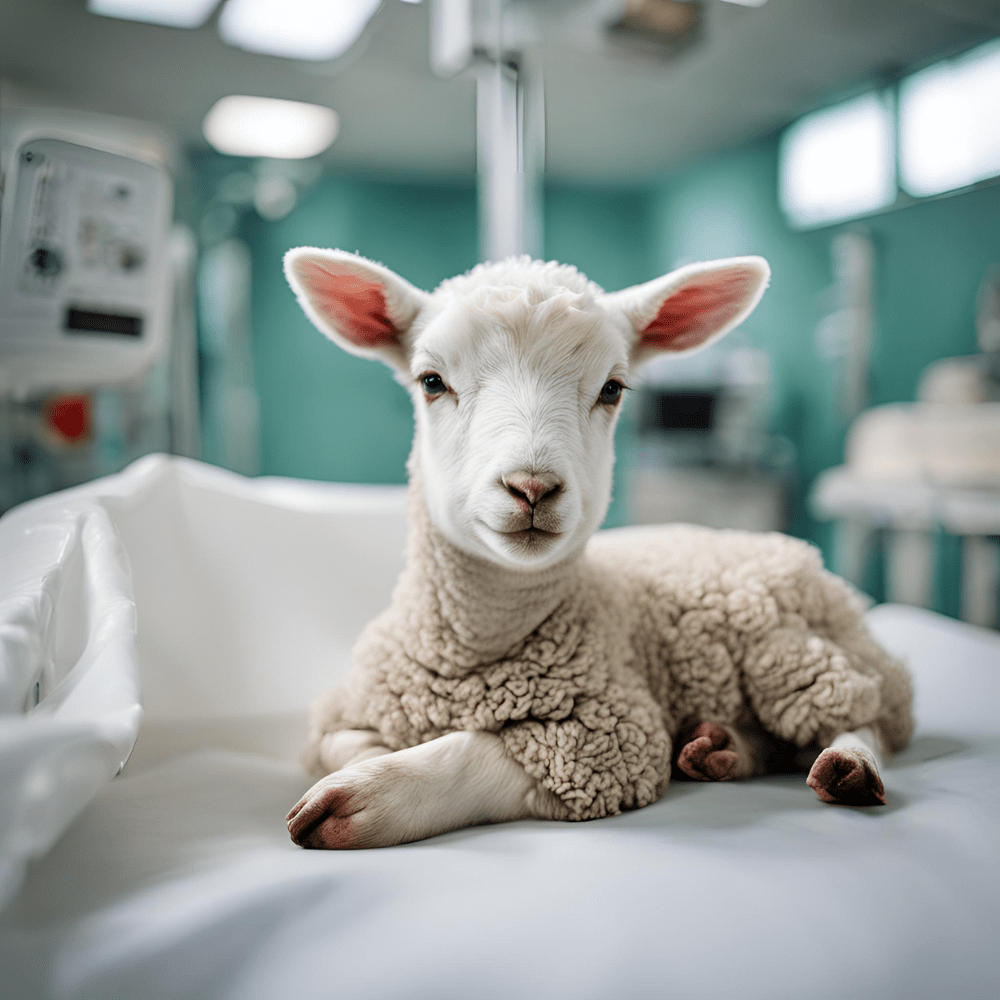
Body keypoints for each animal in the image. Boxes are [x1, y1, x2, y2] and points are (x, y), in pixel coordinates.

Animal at [282, 249, 913, 849]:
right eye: (431, 381)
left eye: (612, 389)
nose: (532, 487)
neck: (478, 650)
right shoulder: (341, 712)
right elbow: (345, 744)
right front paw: (377, 758)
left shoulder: (604, 738)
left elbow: (475, 753)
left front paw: (365, 796)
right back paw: (719, 748)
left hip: (793, 652)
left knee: (864, 713)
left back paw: (848, 766)